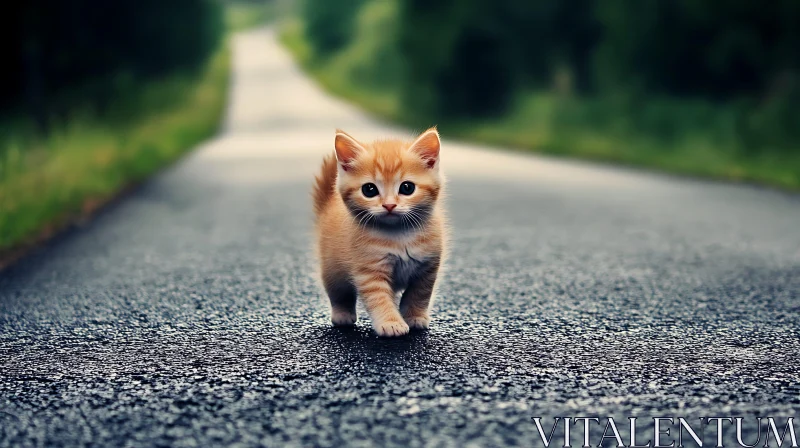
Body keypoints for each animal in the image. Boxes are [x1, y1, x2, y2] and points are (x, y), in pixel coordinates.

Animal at [312, 126, 446, 336]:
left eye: (407, 187)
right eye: (369, 189)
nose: (389, 205)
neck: (399, 235)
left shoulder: (428, 267)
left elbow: (419, 294)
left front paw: (414, 316)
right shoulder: (369, 270)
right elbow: (380, 298)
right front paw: (391, 323)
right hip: (332, 269)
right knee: (339, 293)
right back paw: (342, 314)